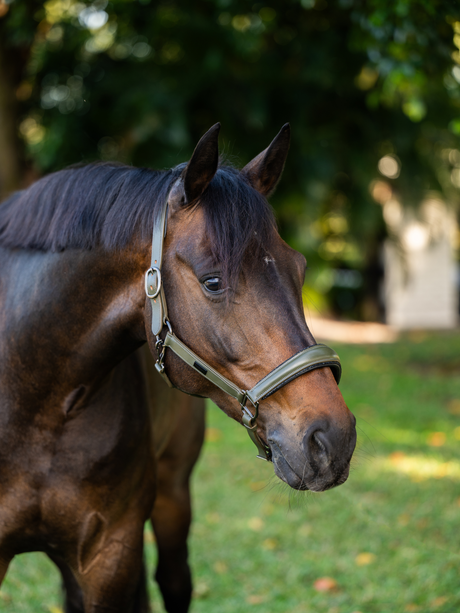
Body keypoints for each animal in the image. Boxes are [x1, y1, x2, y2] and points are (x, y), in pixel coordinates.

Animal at [0, 122, 356, 608]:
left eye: (300, 269)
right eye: (213, 281)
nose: (334, 439)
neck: (38, 399)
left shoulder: (110, 555)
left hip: (173, 495)